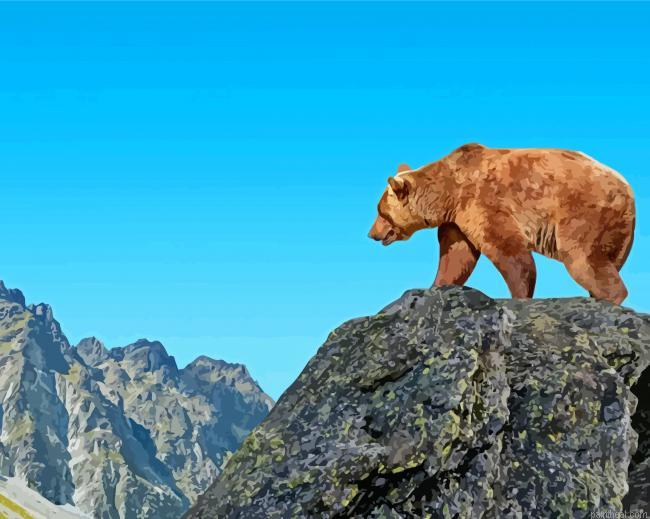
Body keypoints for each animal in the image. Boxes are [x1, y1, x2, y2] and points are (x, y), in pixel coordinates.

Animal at [368, 143, 635, 304]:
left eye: (380, 211)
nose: (372, 233)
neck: (447, 193)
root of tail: (628, 188)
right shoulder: (457, 220)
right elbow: (456, 257)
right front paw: (436, 285)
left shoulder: (483, 201)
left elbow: (509, 251)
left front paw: (519, 296)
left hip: (583, 214)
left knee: (582, 259)